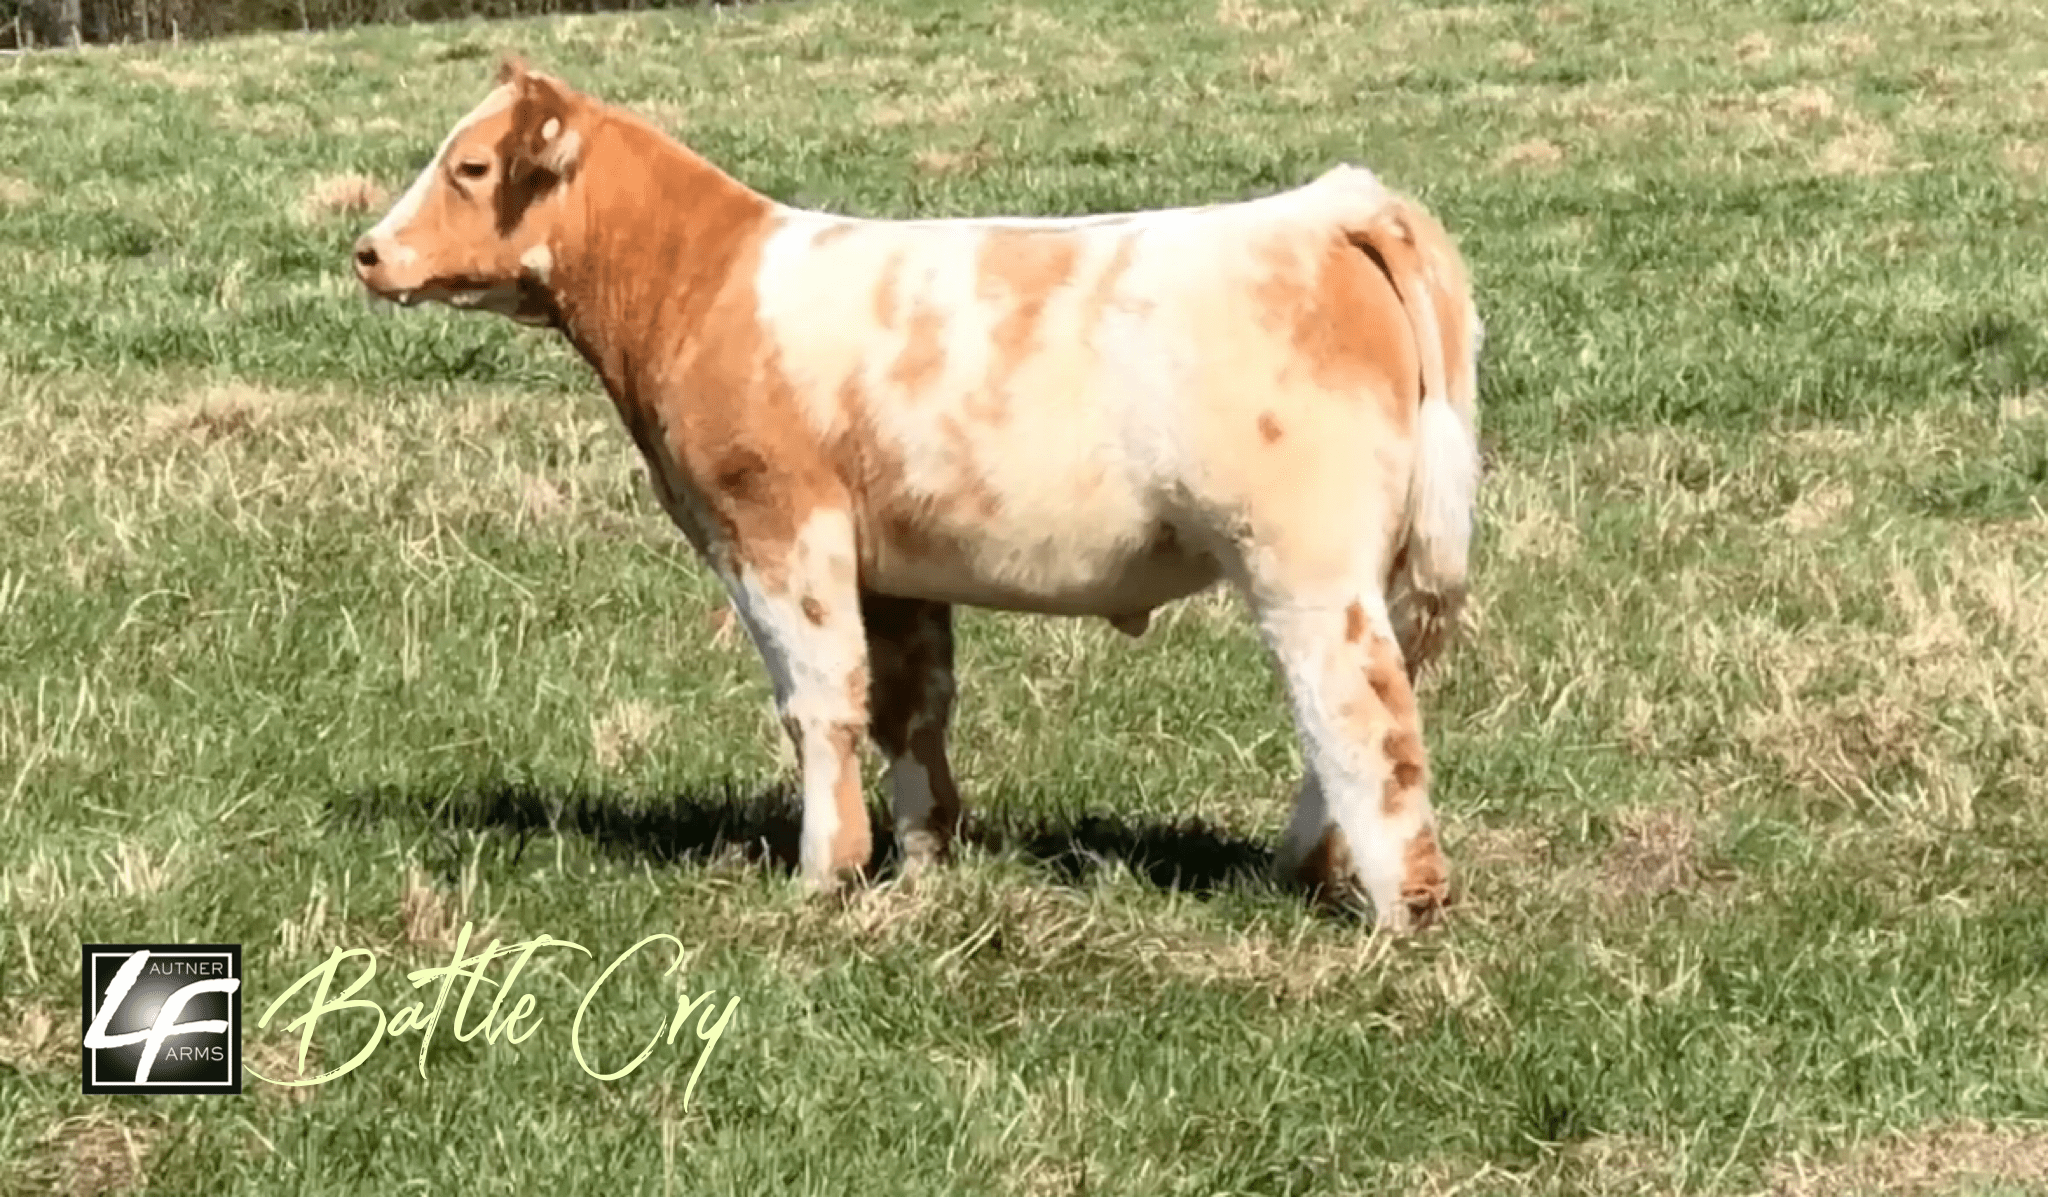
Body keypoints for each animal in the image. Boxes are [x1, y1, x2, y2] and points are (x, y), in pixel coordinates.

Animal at [352, 58, 1484, 932]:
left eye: (470, 166)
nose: (366, 251)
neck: (698, 286)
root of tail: (1329, 207)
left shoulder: (776, 531)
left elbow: (818, 699)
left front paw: (823, 871)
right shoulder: (891, 562)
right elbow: (909, 705)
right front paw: (926, 858)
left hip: (1304, 563)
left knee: (1358, 710)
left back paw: (1400, 909)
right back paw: (1299, 867)